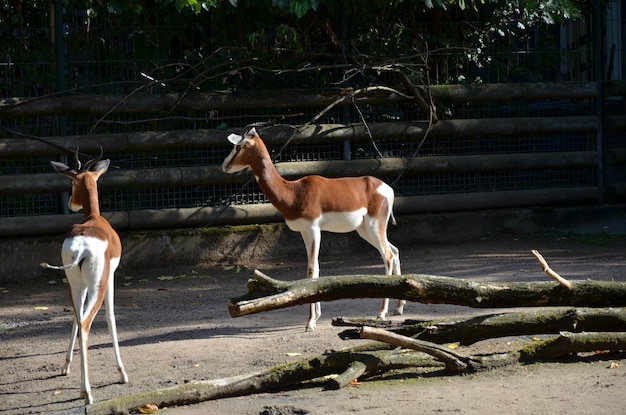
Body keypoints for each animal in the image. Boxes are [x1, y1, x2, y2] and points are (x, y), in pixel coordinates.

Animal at [40, 150, 128, 406]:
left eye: (72, 182)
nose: (71, 203)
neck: (94, 219)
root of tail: (80, 247)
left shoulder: (81, 286)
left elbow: (74, 320)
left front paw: (65, 367)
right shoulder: (110, 279)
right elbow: (111, 317)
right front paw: (122, 373)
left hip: (75, 285)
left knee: (79, 321)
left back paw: (80, 383)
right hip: (97, 285)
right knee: (87, 323)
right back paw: (86, 392)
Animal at [222, 127, 408, 332]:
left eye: (239, 146)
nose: (224, 166)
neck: (294, 192)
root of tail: (387, 188)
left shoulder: (313, 229)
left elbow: (311, 269)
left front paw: (310, 322)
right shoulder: (304, 231)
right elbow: (316, 268)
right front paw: (316, 316)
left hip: (374, 227)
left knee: (388, 256)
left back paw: (381, 313)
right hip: (365, 230)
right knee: (395, 251)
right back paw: (398, 308)